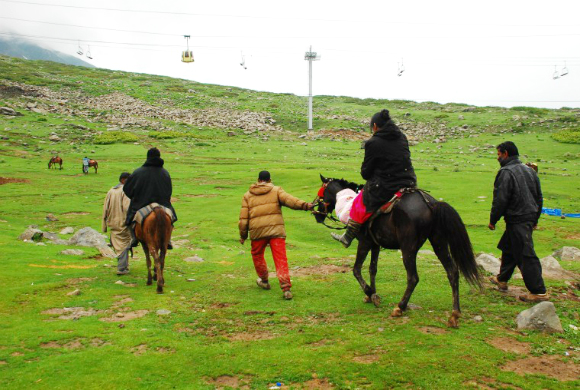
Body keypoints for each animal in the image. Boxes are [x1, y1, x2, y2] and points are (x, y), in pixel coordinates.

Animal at [312, 175, 480, 328]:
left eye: (321, 194)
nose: (317, 216)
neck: (349, 202)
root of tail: (431, 203)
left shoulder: (364, 243)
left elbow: (356, 269)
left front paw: (370, 293)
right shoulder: (375, 244)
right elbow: (373, 269)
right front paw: (372, 295)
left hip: (408, 249)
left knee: (413, 278)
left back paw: (400, 307)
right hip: (439, 243)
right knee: (452, 272)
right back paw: (454, 314)